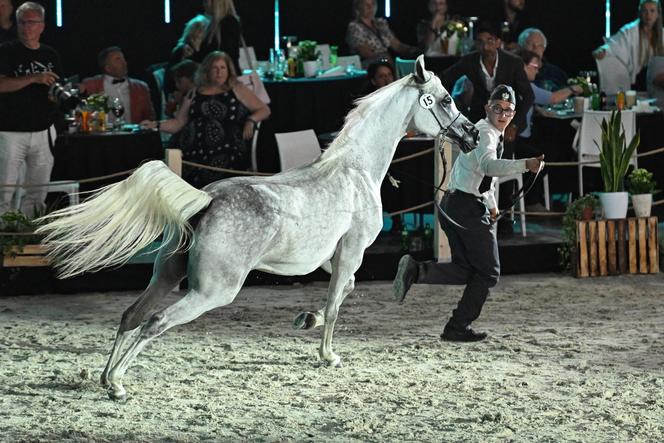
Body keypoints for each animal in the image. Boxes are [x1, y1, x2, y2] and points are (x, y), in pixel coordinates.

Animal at [37, 56, 478, 402]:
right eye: (446, 99)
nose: (472, 134)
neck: (355, 170)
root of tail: (205, 200)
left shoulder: (329, 257)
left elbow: (343, 291)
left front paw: (306, 319)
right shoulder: (351, 251)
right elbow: (337, 302)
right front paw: (328, 354)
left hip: (166, 274)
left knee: (132, 315)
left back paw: (105, 376)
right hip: (213, 290)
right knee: (154, 322)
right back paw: (117, 384)